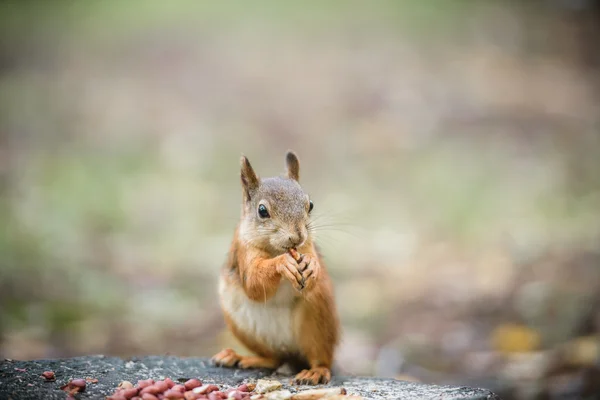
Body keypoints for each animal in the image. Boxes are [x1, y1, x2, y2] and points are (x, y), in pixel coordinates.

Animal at [213, 150, 340, 384]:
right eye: (262, 210)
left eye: (310, 204)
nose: (297, 236)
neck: (276, 249)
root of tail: (290, 354)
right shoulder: (244, 252)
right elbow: (254, 283)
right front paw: (283, 264)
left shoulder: (307, 246)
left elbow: (311, 275)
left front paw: (312, 265)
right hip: (244, 327)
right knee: (272, 358)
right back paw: (240, 357)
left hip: (318, 318)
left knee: (320, 359)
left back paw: (315, 371)